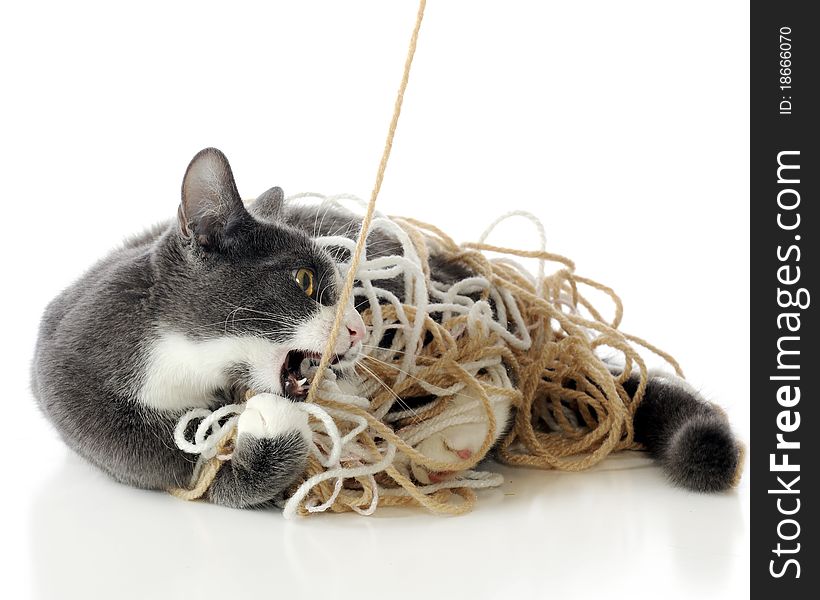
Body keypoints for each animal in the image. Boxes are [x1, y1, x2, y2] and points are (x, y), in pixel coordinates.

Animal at [30, 148, 744, 508]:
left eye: (346, 289)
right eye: (303, 282)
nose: (355, 330)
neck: (180, 362)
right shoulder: (83, 396)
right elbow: (198, 472)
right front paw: (262, 425)